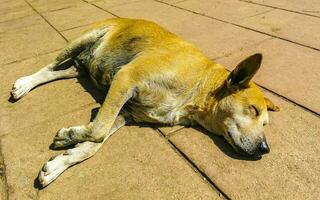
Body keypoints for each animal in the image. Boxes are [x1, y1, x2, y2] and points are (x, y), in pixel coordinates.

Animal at [11, 18, 278, 187]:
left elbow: (93, 143)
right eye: (254, 110)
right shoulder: (125, 79)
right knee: (49, 66)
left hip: (79, 68)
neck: (197, 88)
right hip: (82, 40)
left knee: (56, 73)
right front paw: (69, 135)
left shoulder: (126, 112)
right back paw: (24, 84)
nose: (265, 149)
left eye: (265, 123)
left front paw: (60, 162)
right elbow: (98, 131)